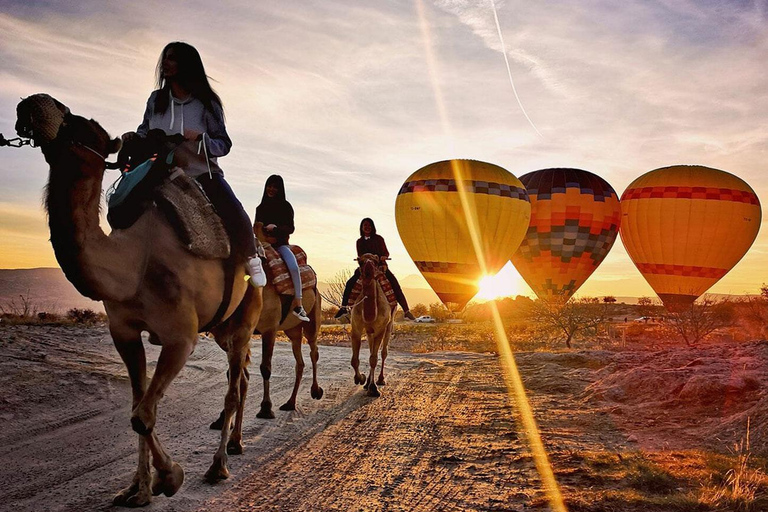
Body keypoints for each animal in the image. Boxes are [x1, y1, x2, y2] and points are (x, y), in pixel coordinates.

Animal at [13, 94, 260, 506]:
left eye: (85, 126)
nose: (34, 103)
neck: (134, 263)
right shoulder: (124, 331)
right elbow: (138, 405)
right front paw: (138, 489)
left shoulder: (181, 337)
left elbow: (142, 415)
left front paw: (171, 476)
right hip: (221, 328)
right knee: (238, 378)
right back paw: (235, 445)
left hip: (244, 320)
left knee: (232, 388)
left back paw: (218, 465)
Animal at [208, 224, 322, 428]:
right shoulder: (231, 335)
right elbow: (232, 372)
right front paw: (221, 419)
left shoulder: (270, 328)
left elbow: (265, 368)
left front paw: (266, 408)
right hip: (292, 329)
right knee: (299, 361)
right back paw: (290, 402)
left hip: (312, 317)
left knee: (313, 350)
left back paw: (316, 391)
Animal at [350, 254, 396, 398]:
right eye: (360, 261)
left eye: (376, 261)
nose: (368, 269)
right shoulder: (356, 328)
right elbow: (355, 360)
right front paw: (361, 379)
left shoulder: (380, 329)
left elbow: (374, 359)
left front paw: (374, 389)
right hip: (370, 331)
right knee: (371, 350)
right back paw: (367, 384)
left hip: (389, 325)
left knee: (383, 352)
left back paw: (380, 380)